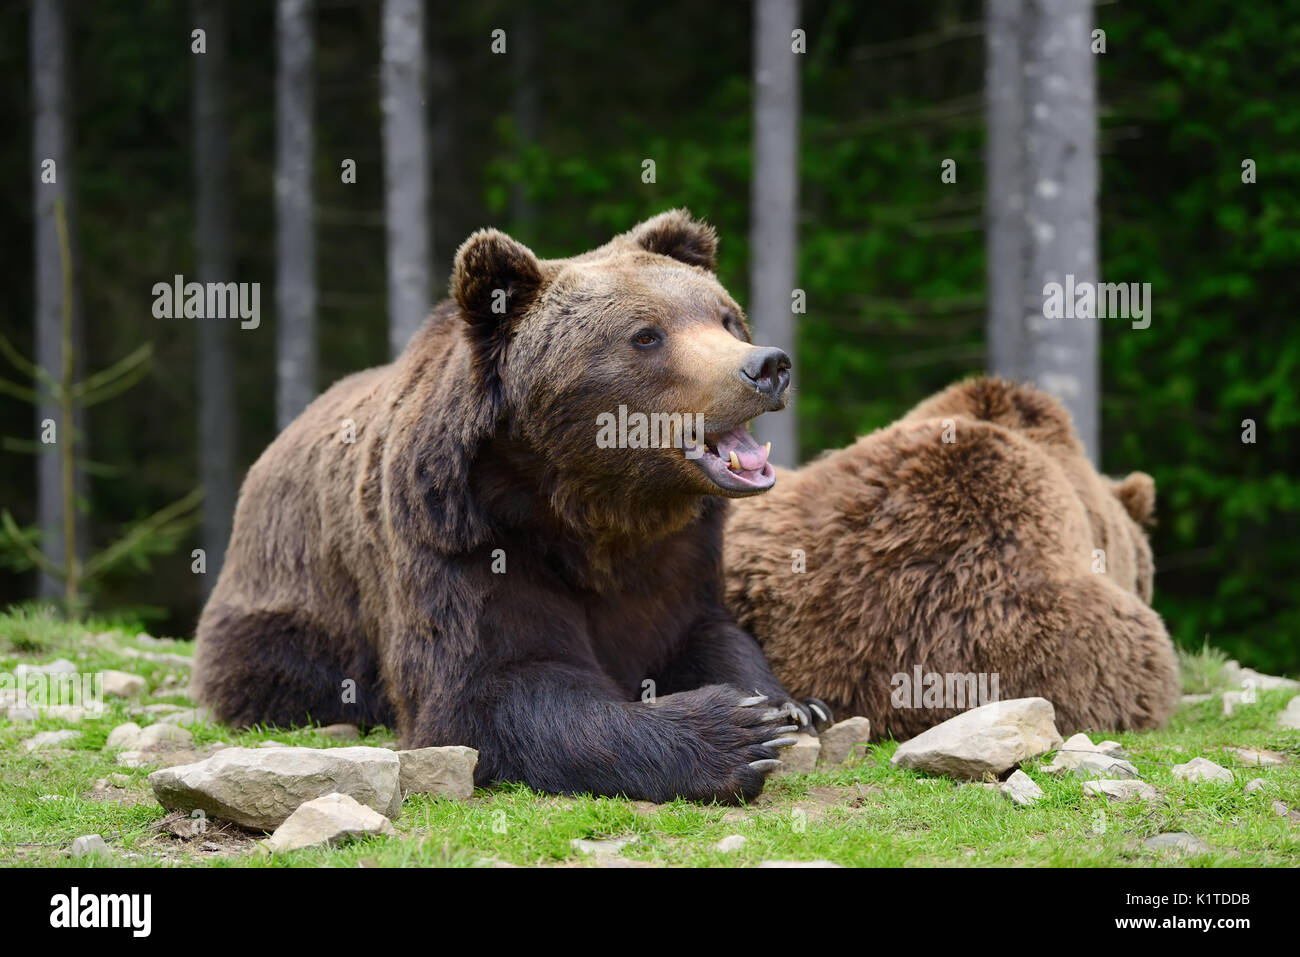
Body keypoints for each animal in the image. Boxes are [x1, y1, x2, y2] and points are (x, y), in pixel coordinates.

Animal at [193, 210, 830, 804]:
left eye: (725, 317)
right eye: (646, 335)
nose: (767, 365)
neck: (590, 506)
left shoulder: (678, 550)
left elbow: (706, 633)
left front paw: (791, 707)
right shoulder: (465, 537)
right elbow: (489, 687)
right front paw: (731, 732)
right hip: (295, 603)